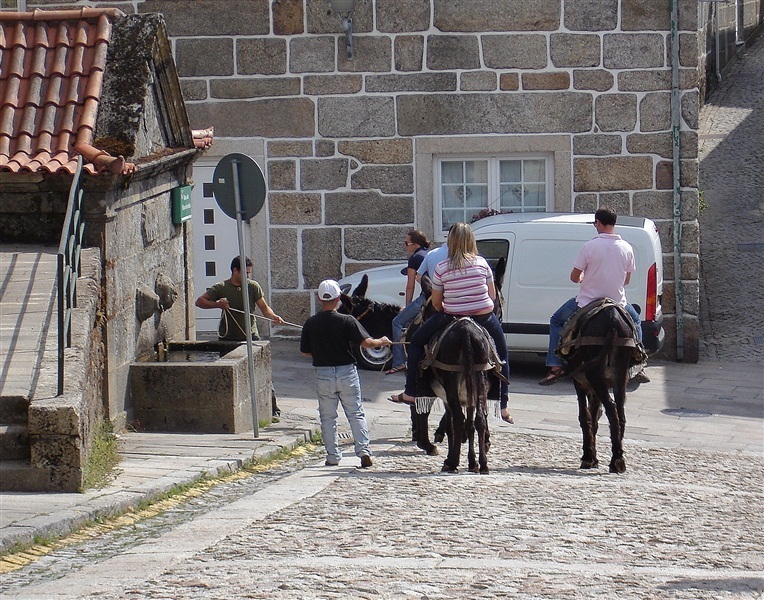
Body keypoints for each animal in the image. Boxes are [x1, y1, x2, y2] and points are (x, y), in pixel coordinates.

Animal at [560, 300, 643, 474]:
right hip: (620, 376)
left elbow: (585, 417)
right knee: (619, 412)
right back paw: (618, 456)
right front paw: (593, 458)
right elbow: (594, 416)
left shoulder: (580, 382)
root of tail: (612, 319)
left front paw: (588, 458)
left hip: (594, 375)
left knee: (611, 408)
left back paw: (616, 461)